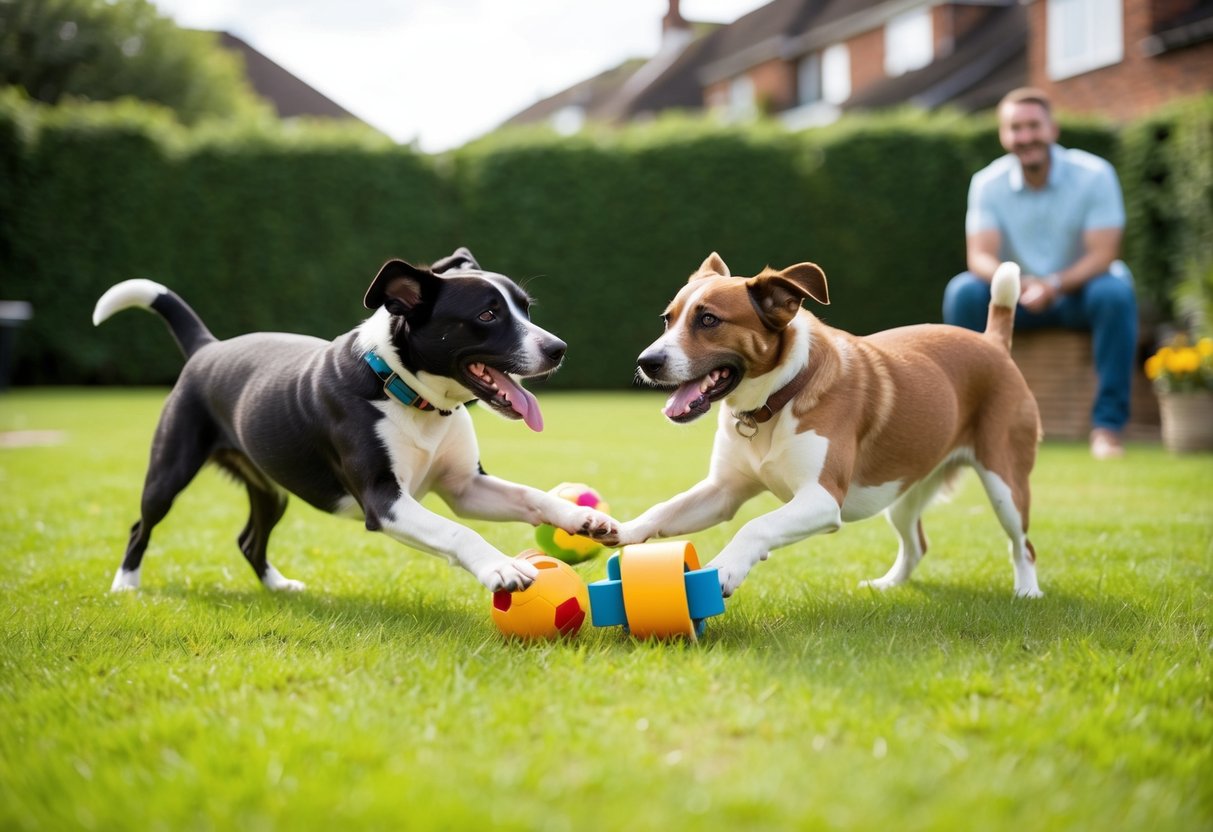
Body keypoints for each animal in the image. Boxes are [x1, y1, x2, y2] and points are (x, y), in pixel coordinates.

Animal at [93, 251, 616, 596]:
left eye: (525, 307)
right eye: (488, 314)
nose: (558, 348)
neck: (410, 394)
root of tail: (208, 347)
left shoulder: (465, 486)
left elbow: (531, 497)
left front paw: (581, 517)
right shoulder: (384, 501)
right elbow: (456, 532)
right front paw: (501, 568)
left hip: (270, 486)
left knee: (249, 539)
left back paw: (278, 585)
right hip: (170, 468)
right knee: (142, 525)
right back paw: (125, 585)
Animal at [606, 254, 1043, 599]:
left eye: (709, 319)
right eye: (668, 320)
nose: (646, 362)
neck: (777, 400)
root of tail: (992, 342)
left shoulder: (822, 498)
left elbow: (756, 525)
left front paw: (726, 568)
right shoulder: (723, 492)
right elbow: (666, 508)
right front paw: (619, 528)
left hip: (1005, 486)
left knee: (1023, 546)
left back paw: (1027, 591)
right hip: (903, 490)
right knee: (916, 544)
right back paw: (888, 586)